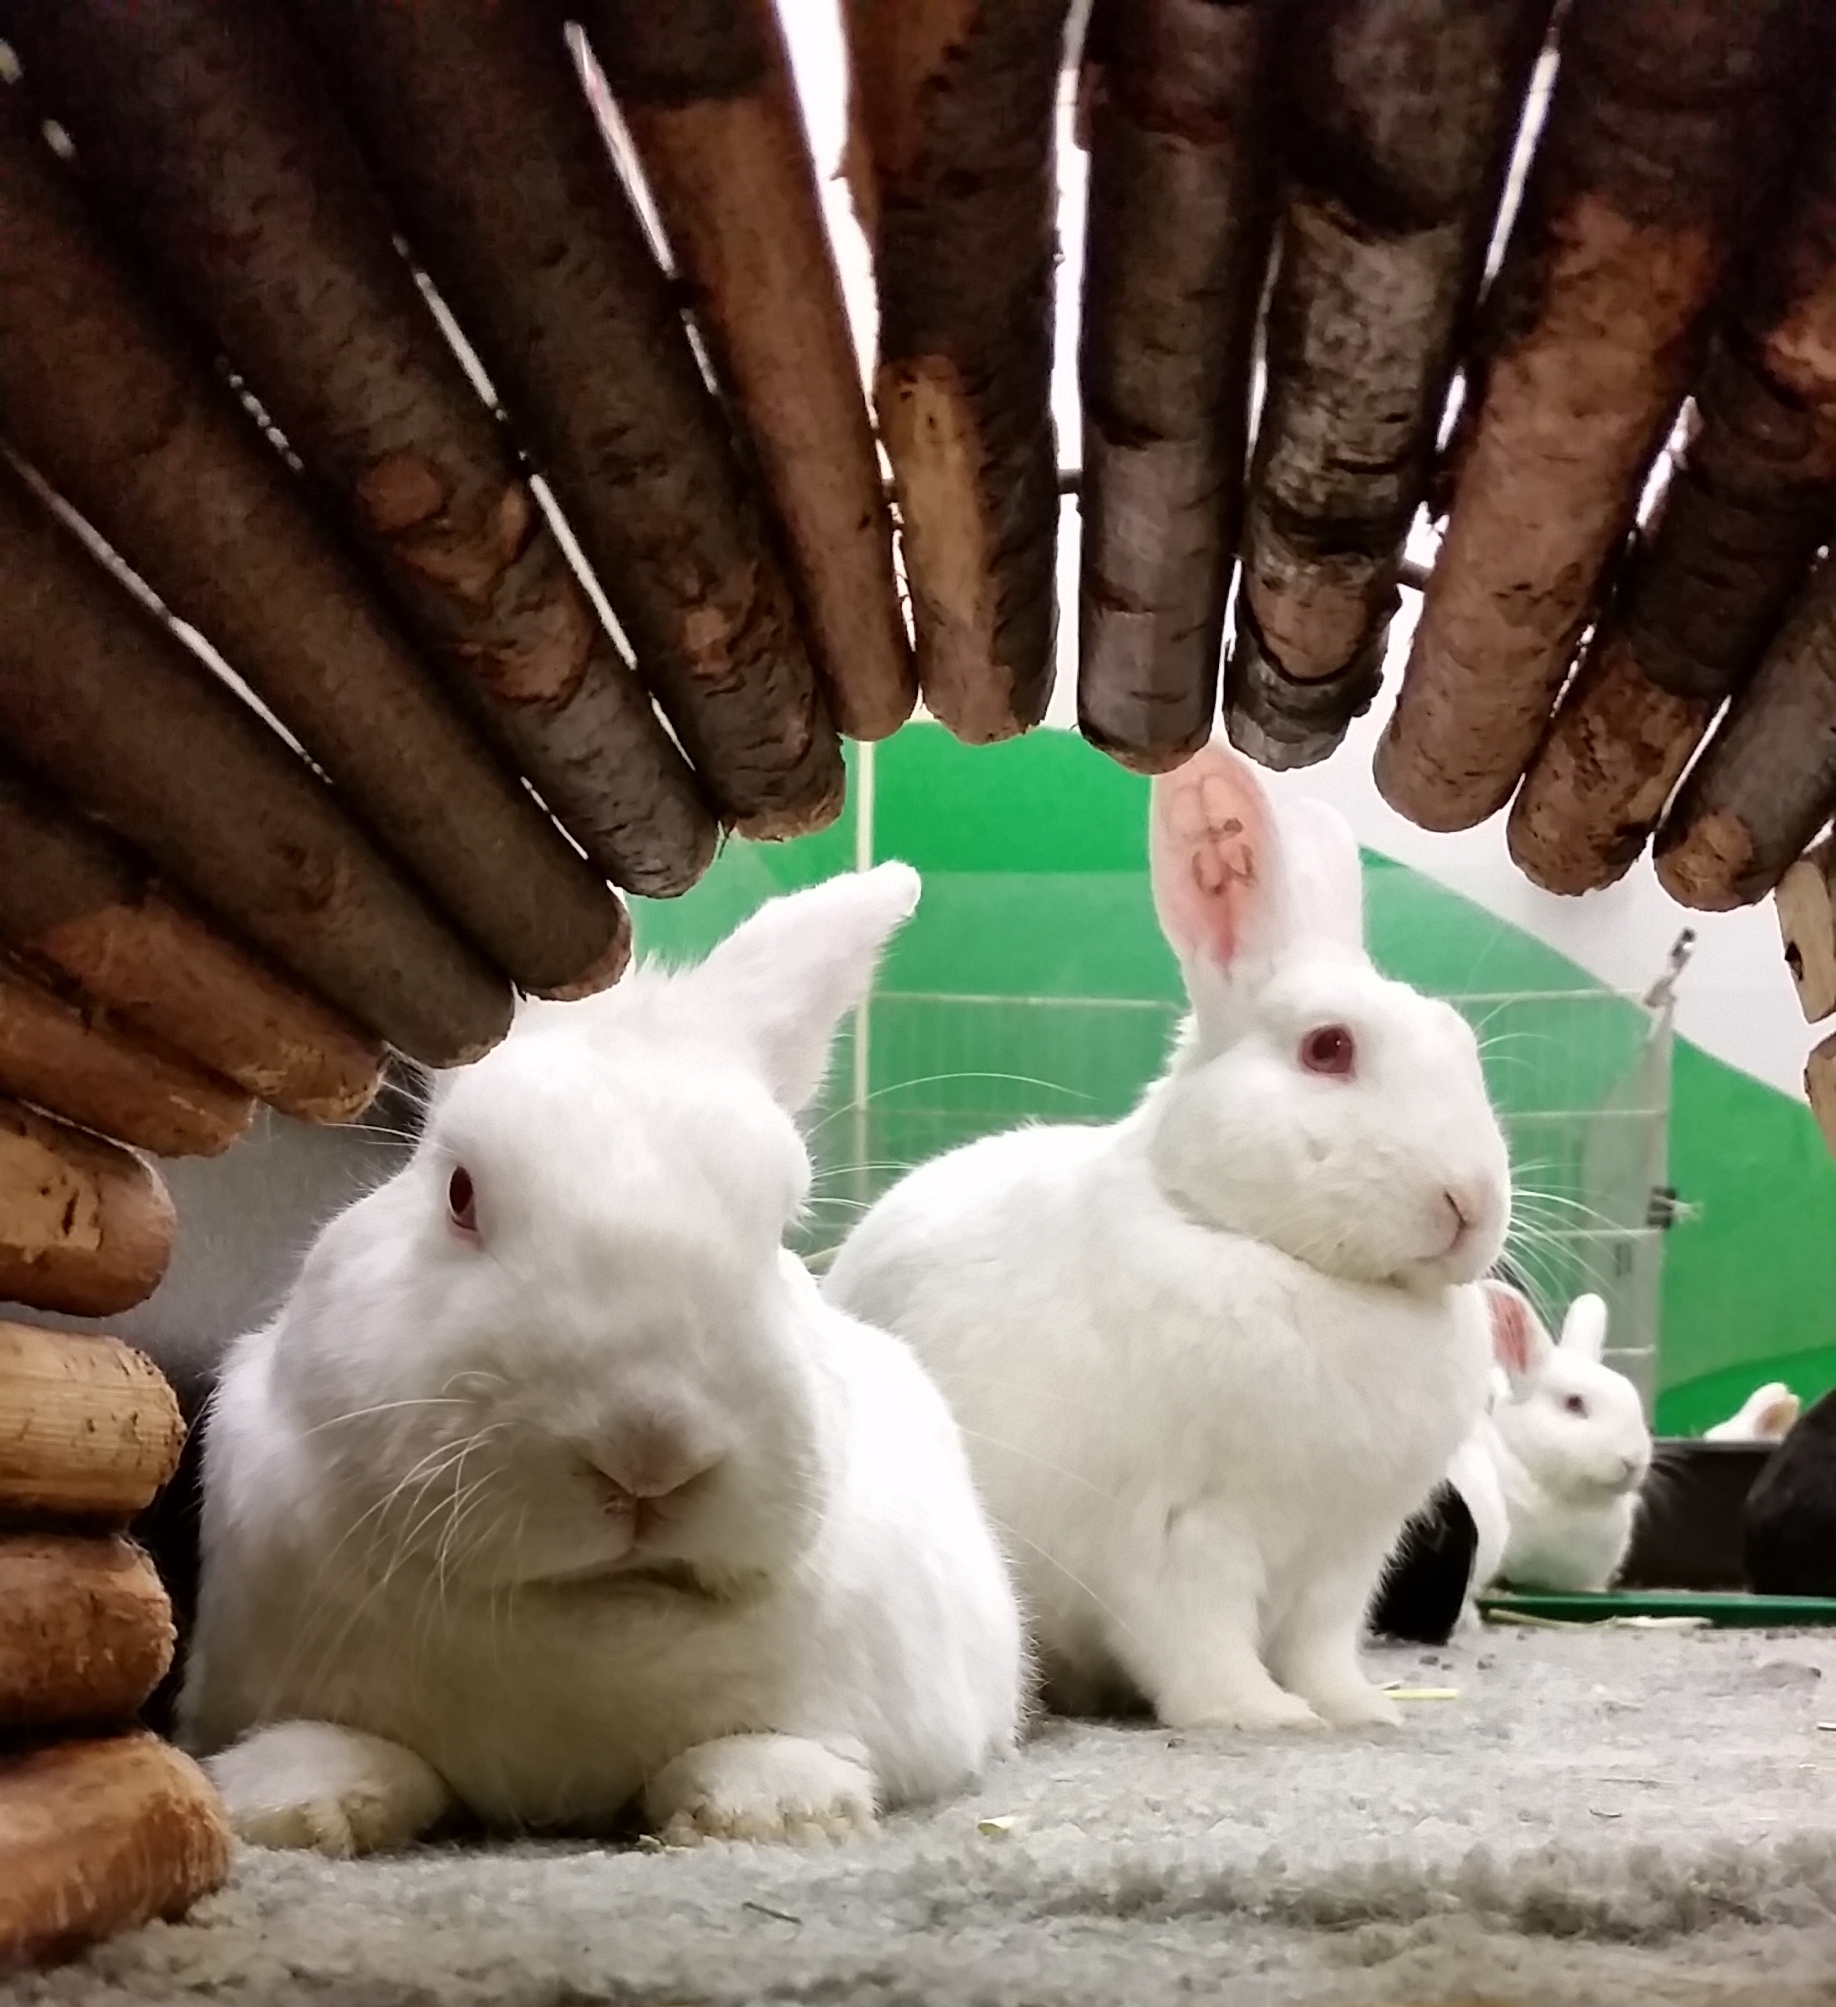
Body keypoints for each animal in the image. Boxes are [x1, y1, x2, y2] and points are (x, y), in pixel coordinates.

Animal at [179, 864, 1025, 1856]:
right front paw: (295, 1810)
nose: (650, 1453)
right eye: (459, 1193)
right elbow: (343, 1741)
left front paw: (772, 1815)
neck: (593, 1615)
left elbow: (779, 1741)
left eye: (781, 1223)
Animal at [825, 737, 1511, 1733]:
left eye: (1459, 1040)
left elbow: (1322, 1648)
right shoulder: (1183, 1537)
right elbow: (1203, 1644)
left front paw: (1358, 1710)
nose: (1473, 1201)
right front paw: (1264, 1716)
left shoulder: (1343, 1561)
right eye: (1328, 1048)